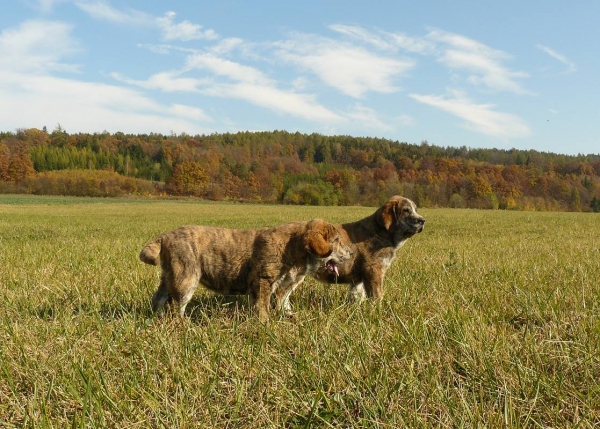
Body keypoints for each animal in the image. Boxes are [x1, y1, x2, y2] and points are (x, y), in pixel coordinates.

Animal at [139, 217, 352, 320]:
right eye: (337, 241)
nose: (352, 252)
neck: (293, 247)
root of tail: (165, 236)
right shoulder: (262, 280)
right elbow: (263, 305)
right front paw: (265, 323)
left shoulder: (283, 284)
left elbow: (283, 301)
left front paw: (287, 315)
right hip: (186, 277)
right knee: (176, 305)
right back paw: (182, 324)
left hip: (169, 276)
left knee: (159, 298)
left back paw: (157, 318)